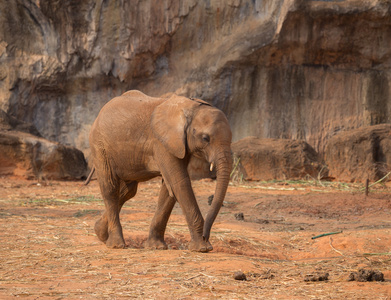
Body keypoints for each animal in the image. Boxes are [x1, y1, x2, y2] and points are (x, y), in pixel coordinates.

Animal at [88, 90, 233, 252]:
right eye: (205, 138)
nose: (205, 236)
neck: (190, 106)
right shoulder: (161, 143)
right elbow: (179, 182)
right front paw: (203, 248)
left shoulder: (178, 144)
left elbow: (169, 188)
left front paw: (156, 246)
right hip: (100, 146)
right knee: (110, 189)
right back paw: (116, 244)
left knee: (128, 191)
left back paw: (100, 233)